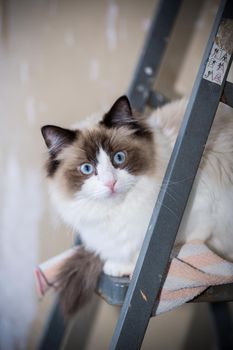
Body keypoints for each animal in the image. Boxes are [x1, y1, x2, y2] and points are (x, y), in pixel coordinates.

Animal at [41, 95, 233, 314]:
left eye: (119, 158)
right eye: (87, 168)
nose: (111, 183)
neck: (116, 213)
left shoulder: (205, 211)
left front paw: (128, 266)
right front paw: (117, 264)